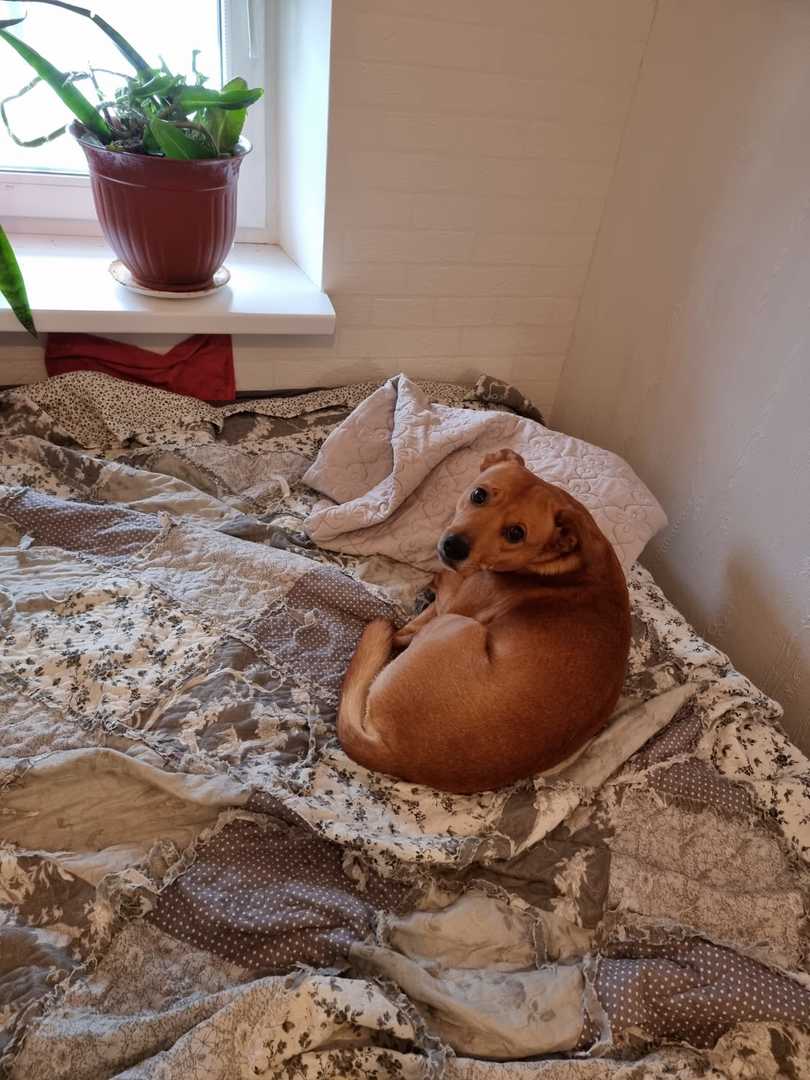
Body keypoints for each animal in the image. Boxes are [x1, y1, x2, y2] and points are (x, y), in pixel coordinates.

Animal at [337, 449, 631, 793]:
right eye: (479, 494)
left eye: (516, 533)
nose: (454, 547)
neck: (561, 563)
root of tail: (398, 757)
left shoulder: (457, 603)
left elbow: (427, 608)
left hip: (458, 626)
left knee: (405, 633)